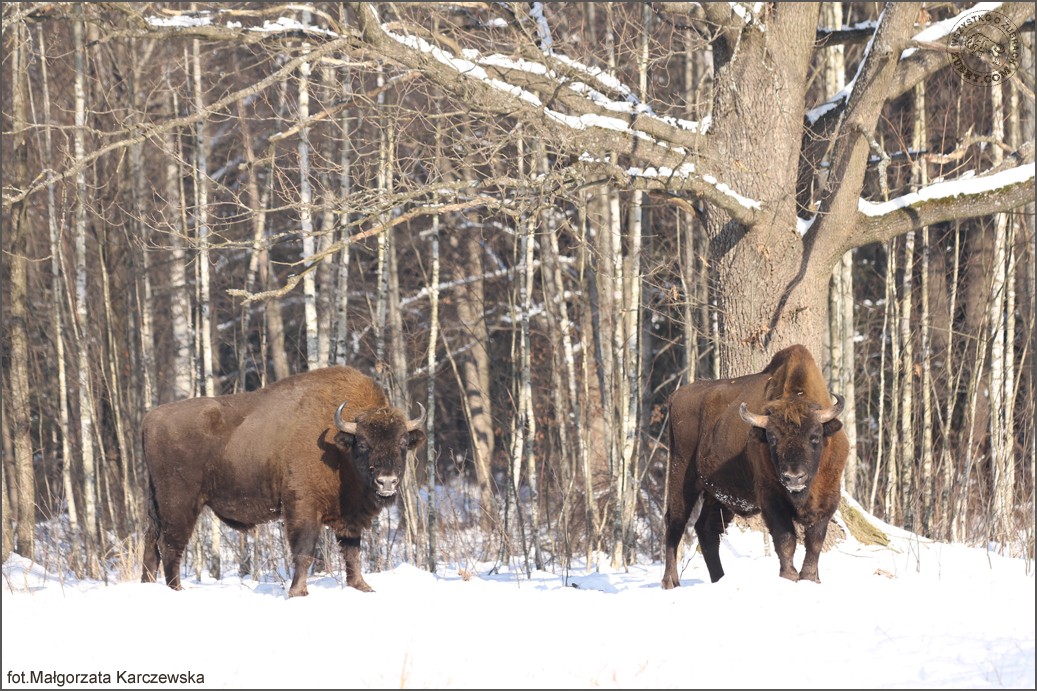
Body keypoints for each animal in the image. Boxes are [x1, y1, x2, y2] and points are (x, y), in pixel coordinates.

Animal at [141, 363, 425, 593]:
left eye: (402, 443)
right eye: (364, 444)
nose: (386, 481)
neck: (339, 445)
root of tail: (150, 418)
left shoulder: (350, 517)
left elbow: (352, 552)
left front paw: (362, 587)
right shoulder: (302, 505)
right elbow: (304, 550)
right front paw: (298, 592)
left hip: (157, 506)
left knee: (151, 546)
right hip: (179, 504)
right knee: (170, 546)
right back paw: (176, 590)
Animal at [659, 342, 846, 585]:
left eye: (814, 436)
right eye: (773, 438)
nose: (793, 477)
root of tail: (676, 396)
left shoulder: (828, 498)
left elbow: (815, 542)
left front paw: (811, 578)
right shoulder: (771, 499)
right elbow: (786, 539)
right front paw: (789, 576)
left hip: (717, 493)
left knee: (706, 529)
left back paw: (719, 578)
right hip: (681, 474)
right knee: (675, 522)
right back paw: (670, 582)